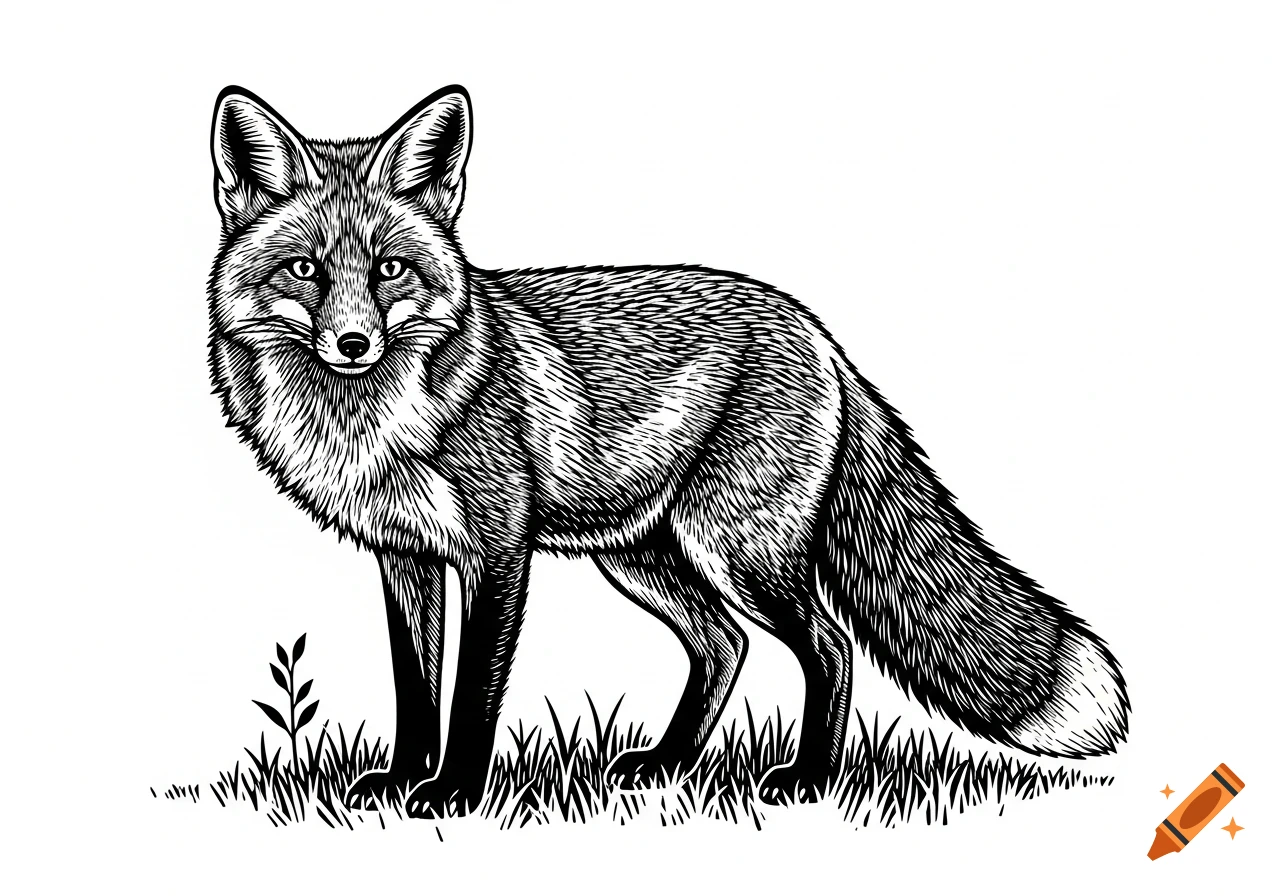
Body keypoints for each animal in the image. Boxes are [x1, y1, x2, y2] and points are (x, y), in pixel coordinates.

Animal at [207, 85, 1128, 816]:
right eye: (305, 270)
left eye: (392, 269)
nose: (353, 344)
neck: (369, 424)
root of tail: (817, 331)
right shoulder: (405, 558)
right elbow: (415, 689)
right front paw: (404, 783)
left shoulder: (498, 553)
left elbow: (472, 696)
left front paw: (455, 795)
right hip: (647, 557)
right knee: (725, 647)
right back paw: (668, 764)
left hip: (739, 552)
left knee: (828, 647)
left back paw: (809, 780)